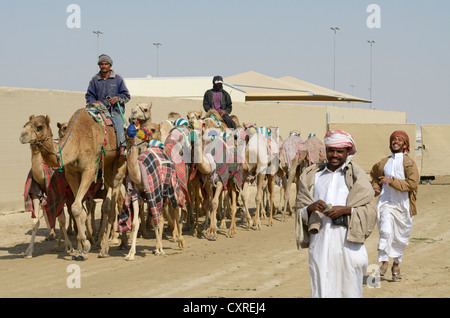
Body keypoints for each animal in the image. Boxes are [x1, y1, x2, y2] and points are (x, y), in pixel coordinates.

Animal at [19, 110, 126, 260]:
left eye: (39, 126)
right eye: (25, 124)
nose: (23, 135)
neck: (75, 143)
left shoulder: (88, 171)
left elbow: (74, 209)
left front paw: (83, 245)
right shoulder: (70, 174)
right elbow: (78, 210)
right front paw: (81, 248)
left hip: (118, 169)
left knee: (111, 206)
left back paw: (106, 246)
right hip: (107, 173)